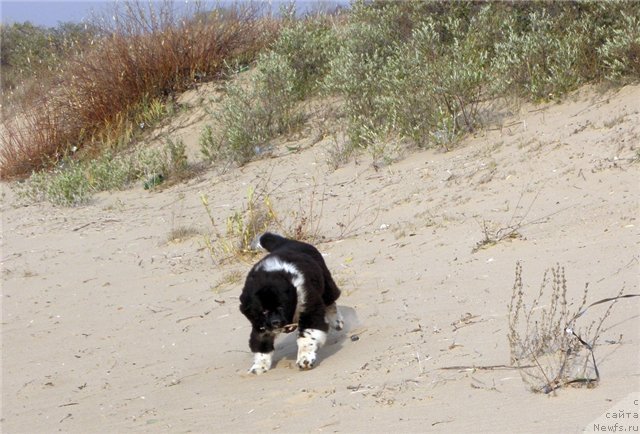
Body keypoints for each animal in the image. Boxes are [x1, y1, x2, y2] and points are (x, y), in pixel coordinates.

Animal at [238, 232, 342, 374]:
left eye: (281, 307)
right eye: (263, 311)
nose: (275, 322)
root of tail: (286, 242)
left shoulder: (310, 311)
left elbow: (307, 338)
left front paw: (305, 359)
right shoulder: (260, 324)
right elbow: (261, 345)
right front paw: (259, 366)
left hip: (326, 285)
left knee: (330, 302)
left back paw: (337, 322)